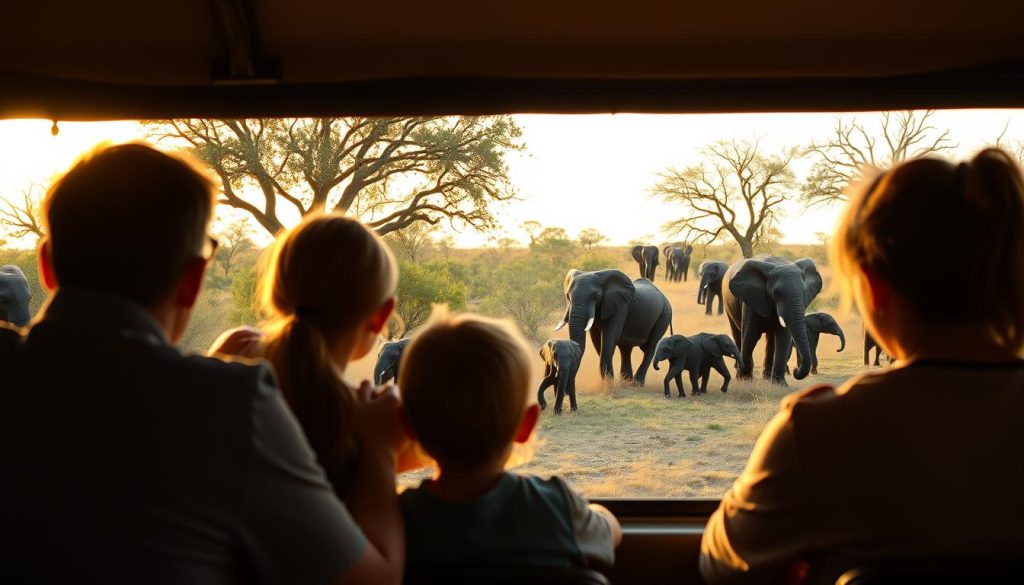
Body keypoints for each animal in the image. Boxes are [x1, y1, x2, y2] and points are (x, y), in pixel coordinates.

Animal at [724, 256, 823, 385]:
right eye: (776, 293)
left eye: (804, 292)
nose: (795, 370)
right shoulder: (751, 302)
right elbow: (750, 336)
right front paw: (745, 380)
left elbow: (783, 338)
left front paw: (780, 384)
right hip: (728, 306)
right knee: (737, 334)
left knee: (770, 340)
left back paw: (766, 378)